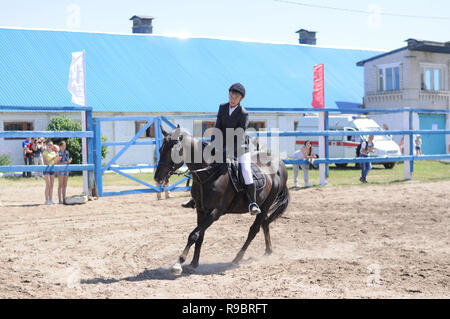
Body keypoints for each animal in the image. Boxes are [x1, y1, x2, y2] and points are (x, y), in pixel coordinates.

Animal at [153, 126, 290, 276]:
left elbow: (194, 234)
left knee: (254, 230)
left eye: (174, 151)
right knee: (265, 223)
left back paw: (237, 259)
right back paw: (268, 251)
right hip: (263, 205)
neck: (208, 174)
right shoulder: (201, 210)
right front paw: (194, 263)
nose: (158, 177)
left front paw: (179, 263)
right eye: (160, 150)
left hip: (265, 205)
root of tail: (281, 164)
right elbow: (200, 236)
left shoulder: (215, 212)